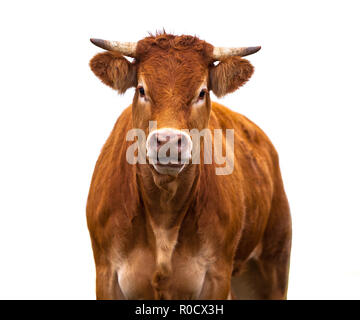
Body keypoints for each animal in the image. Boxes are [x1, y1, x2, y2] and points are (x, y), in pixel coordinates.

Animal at [87, 33, 292, 300]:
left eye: (202, 92)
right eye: (141, 89)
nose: (168, 141)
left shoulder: (217, 275)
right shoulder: (106, 273)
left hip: (275, 260)